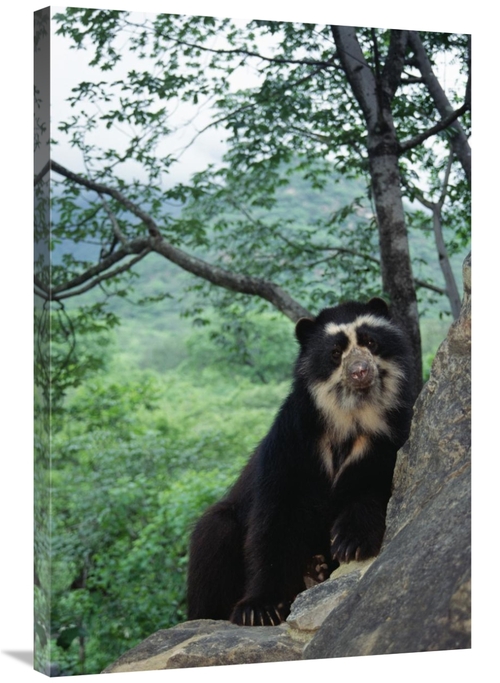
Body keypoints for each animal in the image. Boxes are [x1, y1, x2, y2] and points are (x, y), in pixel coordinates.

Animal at [187, 297, 413, 626]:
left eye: (370, 341)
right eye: (335, 353)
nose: (360, 372)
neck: (351, 417)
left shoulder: (389, 437)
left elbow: (375, 486)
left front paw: (350, 543)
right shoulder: (292, 440)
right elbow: (275, 516)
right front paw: (258, 609)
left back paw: (315, 571)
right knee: (214, 532)